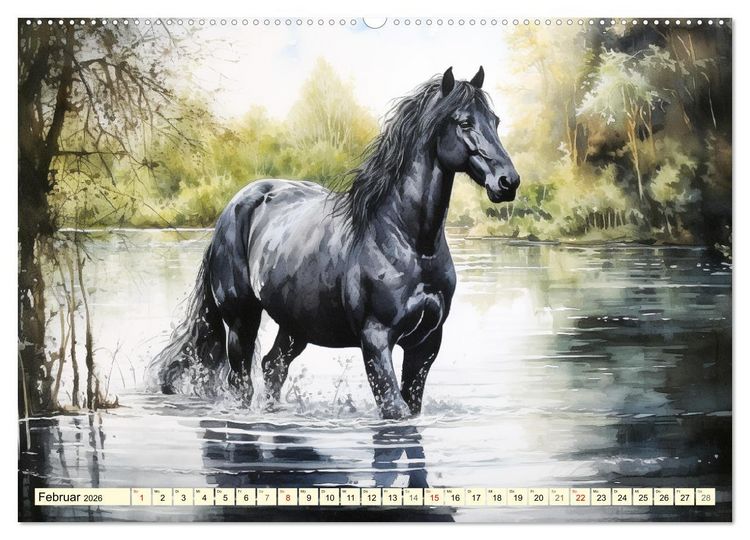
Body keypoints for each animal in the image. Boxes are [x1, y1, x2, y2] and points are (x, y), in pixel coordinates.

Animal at [151, 66, 520, 419]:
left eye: (495, 121)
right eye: (464, 122)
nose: (508, 182)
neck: (412, 243)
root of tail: (235, 207)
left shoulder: (425, 344)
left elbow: (410, 407)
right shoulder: (376, 340)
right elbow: (394, 410)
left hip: (295, 325)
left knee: (273, 367)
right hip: (242, 321)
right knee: (241, 382)